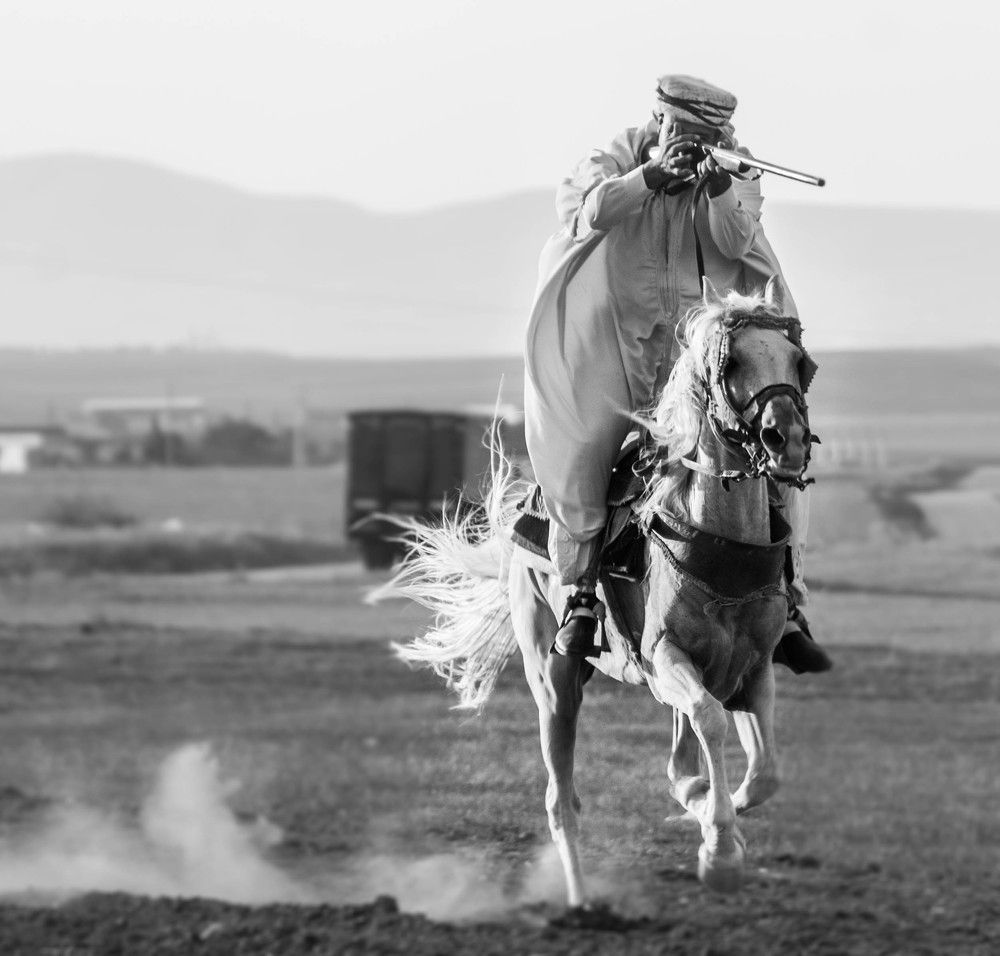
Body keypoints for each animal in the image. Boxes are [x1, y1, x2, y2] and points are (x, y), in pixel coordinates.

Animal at [379, 276, 818, 904]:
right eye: (731, 362)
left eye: (795, 361)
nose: (787, 440)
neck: (717, 538)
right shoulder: (665, 658)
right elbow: (709, 722)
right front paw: (718, 849)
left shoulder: (751, 668)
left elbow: (763, 773)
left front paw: (714, 817)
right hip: (553, 681)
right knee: (561, 799)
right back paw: (581, 898)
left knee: (681, 758)